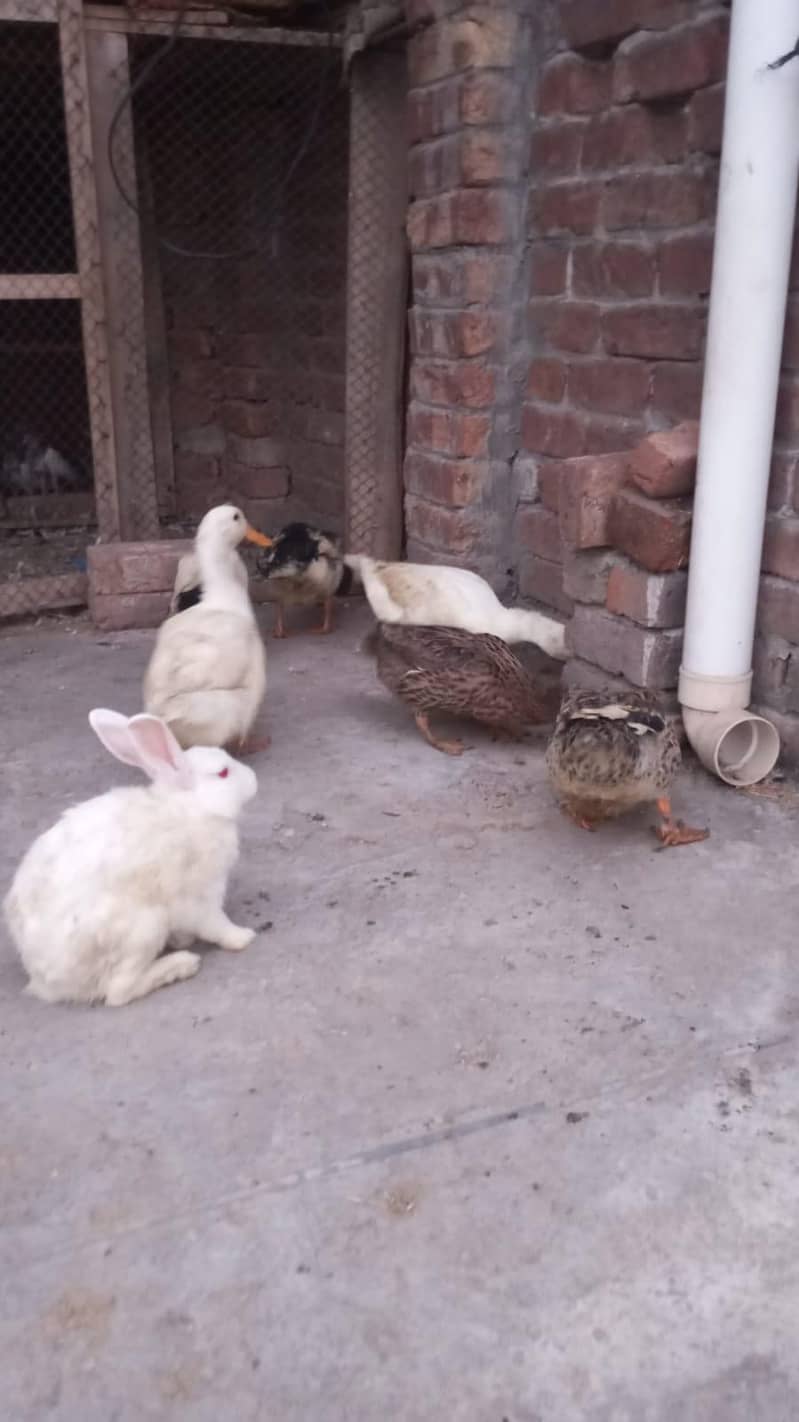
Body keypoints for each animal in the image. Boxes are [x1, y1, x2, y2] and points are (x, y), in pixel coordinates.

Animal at [3, 709, 259, 1007]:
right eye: (223, 773)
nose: (253, 779)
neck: (189, 807)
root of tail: (48, 982)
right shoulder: (200, 893)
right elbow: (215, 924)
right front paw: (242, 937)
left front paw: (183, 939)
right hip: (143, 928)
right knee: (119, 992)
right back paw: (181, 965)